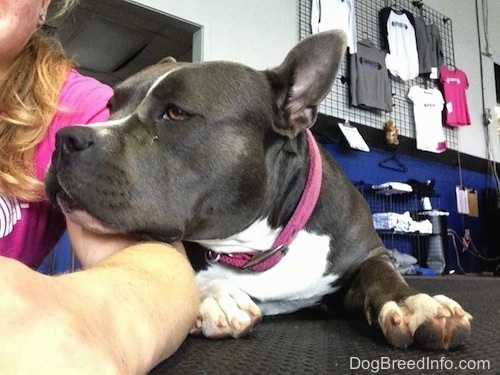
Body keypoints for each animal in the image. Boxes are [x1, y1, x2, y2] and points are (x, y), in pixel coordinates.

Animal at [45, 30, 470, 352]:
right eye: (110, 106)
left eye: (176, 113)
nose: (64, 138)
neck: (259, 245)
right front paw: (216, 295)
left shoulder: (366, 254)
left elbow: (380, 273)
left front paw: (416, 303)